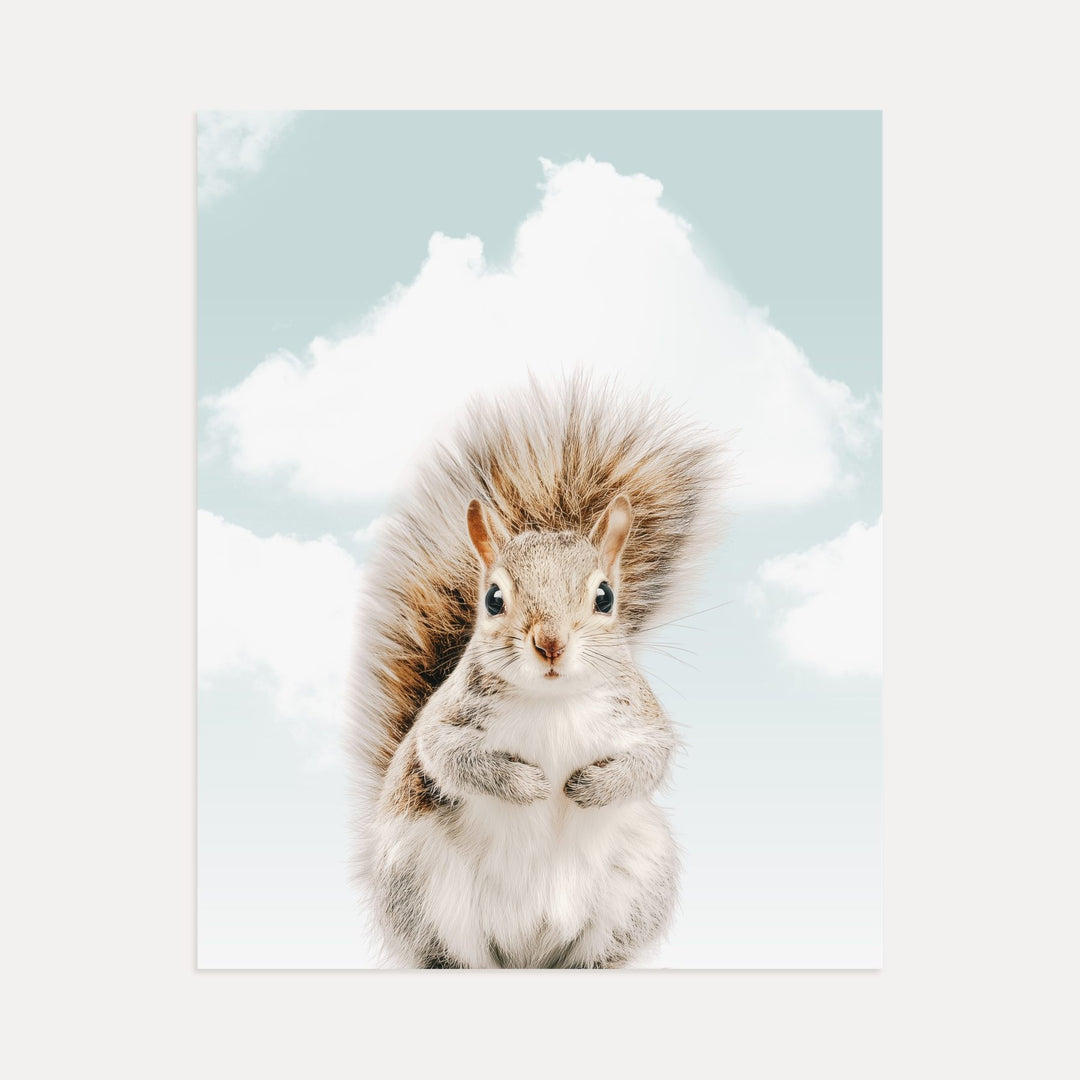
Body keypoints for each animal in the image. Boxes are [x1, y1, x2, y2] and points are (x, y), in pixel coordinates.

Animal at [346, 375, 726, 968]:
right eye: (493, 598)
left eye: (605, 596)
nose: (550, 643)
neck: (552, 702)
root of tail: (528, 954)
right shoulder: (445, 722)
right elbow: (449, 757)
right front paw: (528, 784)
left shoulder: (641, 718)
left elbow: (649, 759)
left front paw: (588, 787)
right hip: (421, 886)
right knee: (452, 952)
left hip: (638, 881)